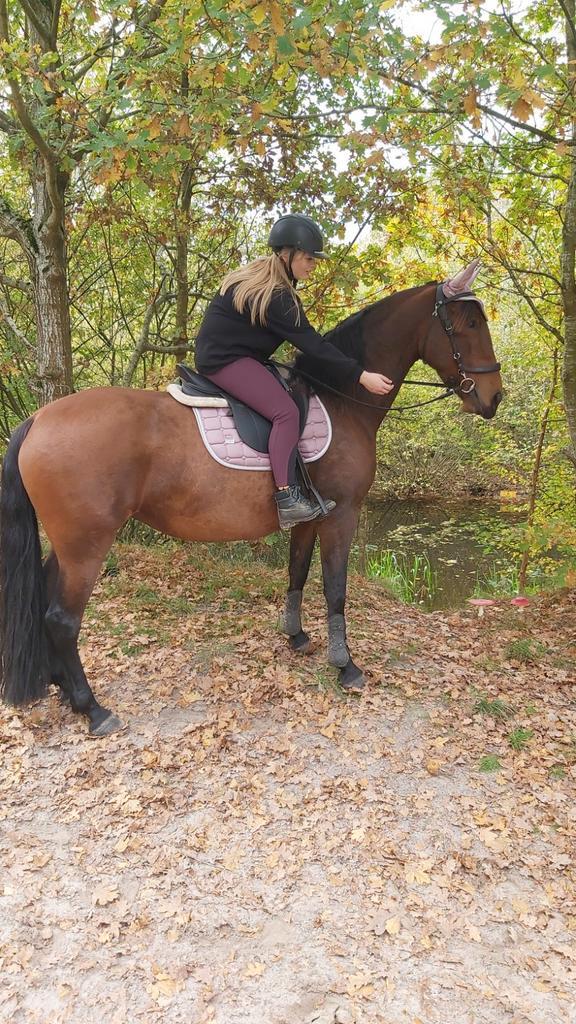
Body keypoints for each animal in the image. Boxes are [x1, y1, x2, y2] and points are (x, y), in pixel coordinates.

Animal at [0, 260, 502, 736]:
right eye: (468, 324)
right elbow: (335, 588)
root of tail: (38, 420)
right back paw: (92, 708)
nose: (494, 399)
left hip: (68, 543)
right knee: (62, 619)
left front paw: (296, 637)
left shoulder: (309, 517)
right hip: (87, 544)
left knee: (48, 604)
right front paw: (346, 666)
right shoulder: (342, 515)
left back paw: (64, 689)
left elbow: (297, 573)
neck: (340, 401)